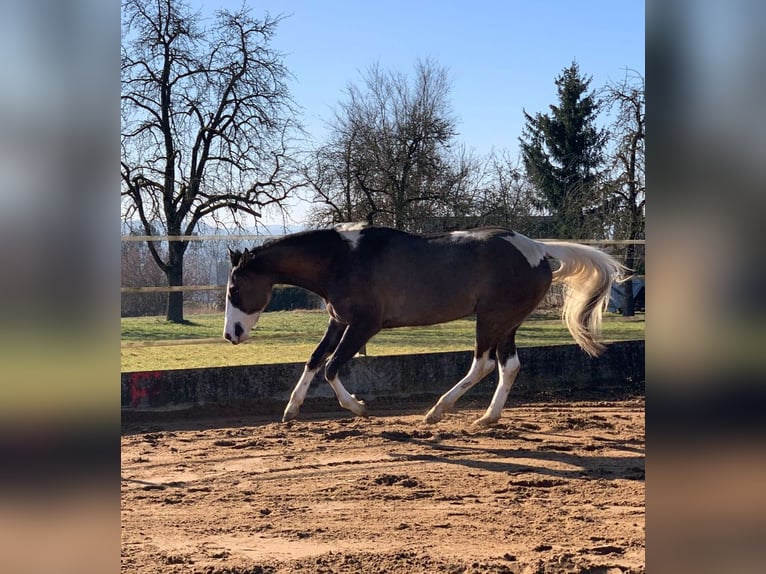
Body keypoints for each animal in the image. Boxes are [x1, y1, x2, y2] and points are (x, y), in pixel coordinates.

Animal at [223, 223, 626, 427]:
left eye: (233, 288)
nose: (231, 335)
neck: (342, 259)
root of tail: (539, 250)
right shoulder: (338, 322)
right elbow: (314, 360)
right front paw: (290, 411)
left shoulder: (364, 325)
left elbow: (332, 368)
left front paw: (359, 408)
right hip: (507, 323)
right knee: (508, 366)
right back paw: (486, 418)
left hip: (491, 318)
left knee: (482, 364)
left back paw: (436, 412)